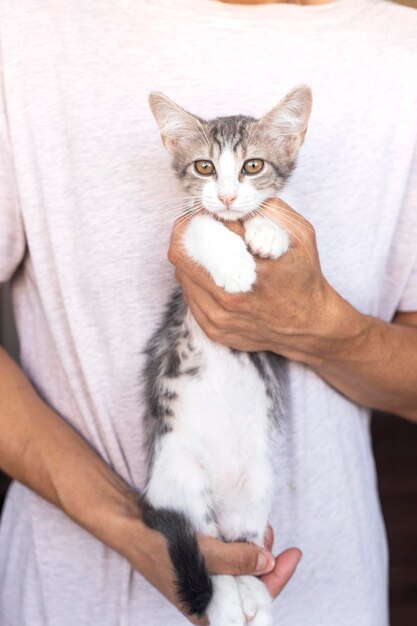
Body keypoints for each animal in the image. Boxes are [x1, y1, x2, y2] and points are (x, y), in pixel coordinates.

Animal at [141, 86, 310, 624]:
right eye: (204, 167)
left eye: (253, 166)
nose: (230, 196)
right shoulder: (182, 243)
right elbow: (201, 225)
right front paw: (235, 265)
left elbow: (277, 206)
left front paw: (269, 229)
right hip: (179, 480)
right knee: (209, 549)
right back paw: (225, 602)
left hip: (257, 485)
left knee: (242, 543)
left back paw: (252, 590)